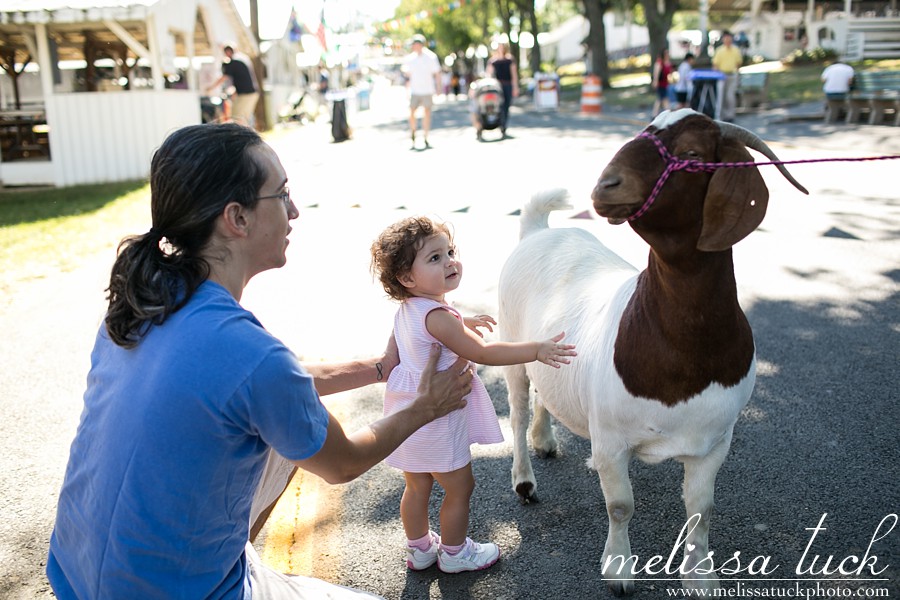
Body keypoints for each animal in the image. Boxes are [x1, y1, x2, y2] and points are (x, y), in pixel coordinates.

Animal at [500, 109, 808, 596]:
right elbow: (621, 506)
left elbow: (701, 509)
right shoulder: (611, 441)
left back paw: (546, 440)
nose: (606, 185)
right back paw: (525, 480)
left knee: (544, 395)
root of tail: (539, 231)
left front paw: (700, 577)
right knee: (515, 409)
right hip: (512, 348)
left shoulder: (715, 441)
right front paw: (619, 571)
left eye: (692, 155)